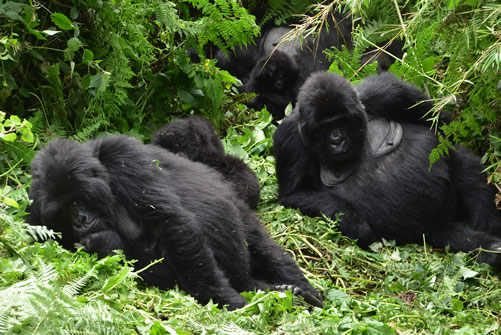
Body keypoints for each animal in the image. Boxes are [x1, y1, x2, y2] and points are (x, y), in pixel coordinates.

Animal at [27, 136, 322, 310]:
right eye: (63, 212)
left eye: (77, 201)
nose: (80, 221)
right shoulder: (34, 217)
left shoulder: (123, 155)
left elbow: (170, 223)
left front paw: (223, 298)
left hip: (239, 208)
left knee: (259, 245)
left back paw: (296, 287)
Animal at [274, 71, 500, 270]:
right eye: (323, 128)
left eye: (341, 122)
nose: (336, 141)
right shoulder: (289, 139)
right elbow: (294, 195)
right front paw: (354, 222)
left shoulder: (386, 91)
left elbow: (443, 128)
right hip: (431, 232)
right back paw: (490, 249)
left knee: (463, 165)